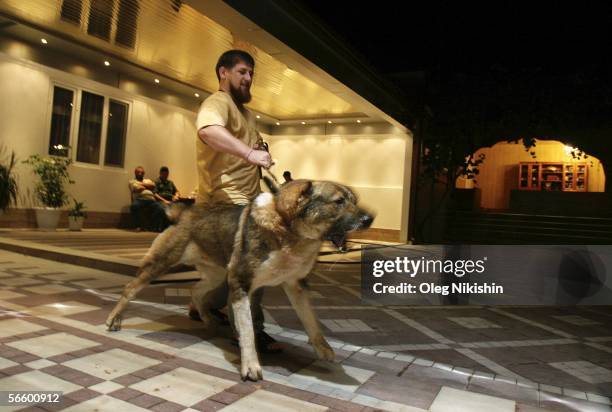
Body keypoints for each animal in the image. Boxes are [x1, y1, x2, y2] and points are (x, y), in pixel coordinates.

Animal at [105, 179, 372, 382]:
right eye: (339, 201)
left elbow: (311, 321)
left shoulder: (296, 286)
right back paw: (114, 319)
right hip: (161, 264)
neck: (288, 231)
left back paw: (208, 319)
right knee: (130, 288)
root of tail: (184, 212)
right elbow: (247, 331)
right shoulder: (240, 284)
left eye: (354, 200)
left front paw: (323, 349)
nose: (370, 218)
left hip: (216, 275)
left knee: (196, 290)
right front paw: (251, 365)